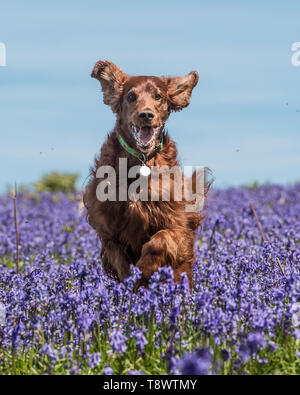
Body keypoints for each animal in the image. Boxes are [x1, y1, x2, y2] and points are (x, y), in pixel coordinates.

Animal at [83, 60, 207, 290]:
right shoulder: (109, 233)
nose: (146, 115)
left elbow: (158, 242)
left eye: (158, 96)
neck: (141, 162)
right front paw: (131, 281)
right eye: (131, 96)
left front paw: (143, 272)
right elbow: (122, 263)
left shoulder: (177, 225)